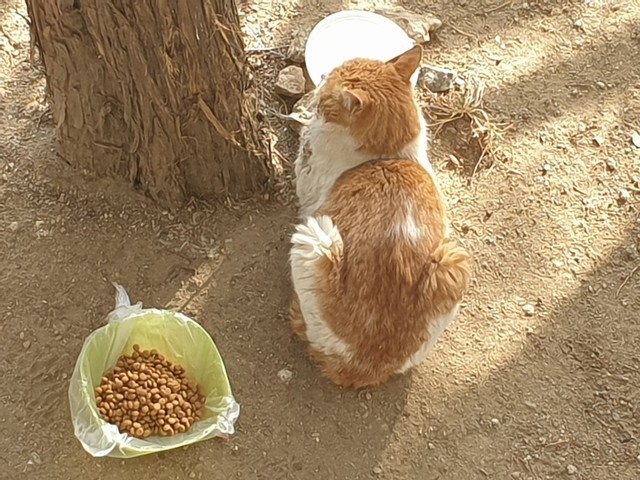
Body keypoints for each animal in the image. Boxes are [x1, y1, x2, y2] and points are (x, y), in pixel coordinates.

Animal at [290, 45, 471, 389]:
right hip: (452, 261)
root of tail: (366, 365)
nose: (322, 75)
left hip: (316, 237)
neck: (389, 156)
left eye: (329, 84)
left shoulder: (308, 185)